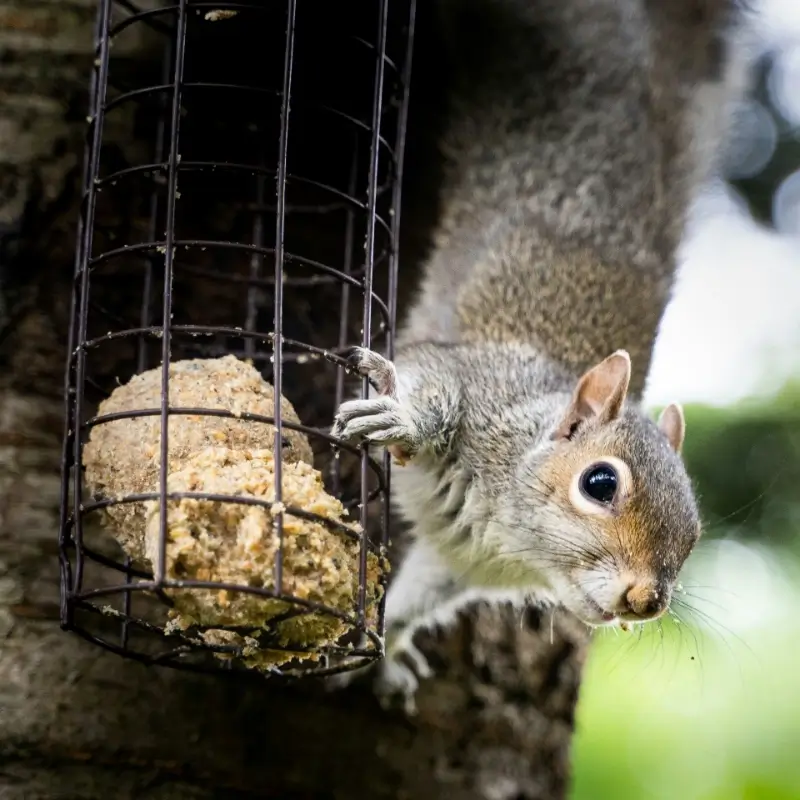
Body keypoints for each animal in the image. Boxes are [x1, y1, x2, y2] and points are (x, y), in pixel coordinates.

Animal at [330, 0, 751, 708]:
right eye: (600, 483)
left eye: (693, 532)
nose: (646, 601)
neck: (513, 537)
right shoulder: (476, 377)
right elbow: (430, 379)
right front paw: (398, 419)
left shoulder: (459, 564)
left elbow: (419, 594)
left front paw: (386, 648)